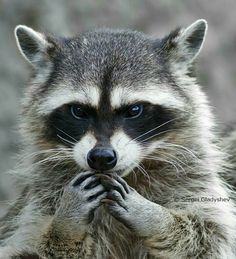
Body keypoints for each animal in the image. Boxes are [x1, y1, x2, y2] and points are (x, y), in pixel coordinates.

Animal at [0, 19, 236, 259]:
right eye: (78, 111)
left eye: (134, 110)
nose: (101, 157)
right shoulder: (38, 204)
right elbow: (30, 248)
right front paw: (65, 226)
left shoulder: (193, 181)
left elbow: (211, 236)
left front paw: (154, 217)